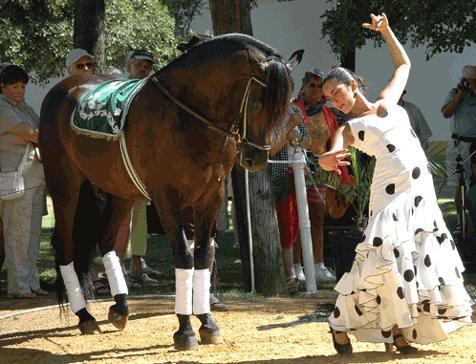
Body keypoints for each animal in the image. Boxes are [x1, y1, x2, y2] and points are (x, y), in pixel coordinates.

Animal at [40, 33, 302, 350]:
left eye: (285, 106)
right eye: (257, 102)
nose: (256, 158)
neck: (188, 116)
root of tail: (64, 87)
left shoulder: (211, 198)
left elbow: (203, 256)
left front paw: (207, 323)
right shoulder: (166, 198)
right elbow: (184, 256)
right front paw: (185, 331)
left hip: (121, 190)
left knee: (107, 240)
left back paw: (120, 308)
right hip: (65, 185)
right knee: (64, 244)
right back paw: (84, 315)